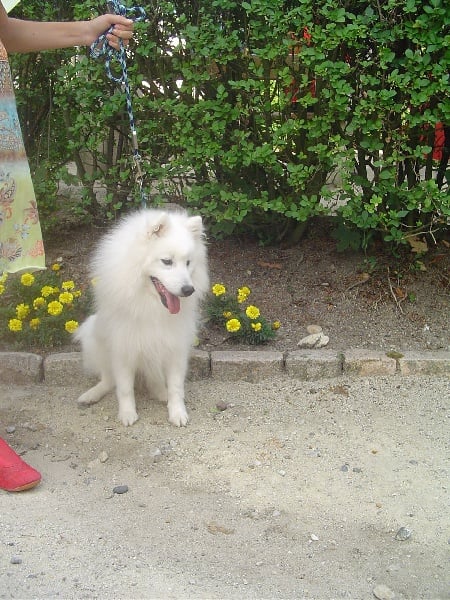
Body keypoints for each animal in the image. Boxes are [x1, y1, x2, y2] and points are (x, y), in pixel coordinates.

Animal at [74, 208, 209, 427]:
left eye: (188, 263)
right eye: (167, 261)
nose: (189, 290)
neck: (151, 305)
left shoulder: (175, 347)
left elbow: (176, 387)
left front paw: (177, 413)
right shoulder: (123, 348)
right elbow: (124, 388)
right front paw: (127, 414)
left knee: (154, 382)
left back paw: (161, 393)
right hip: (94, 338)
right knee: (108, 379)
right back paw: (92, 394)